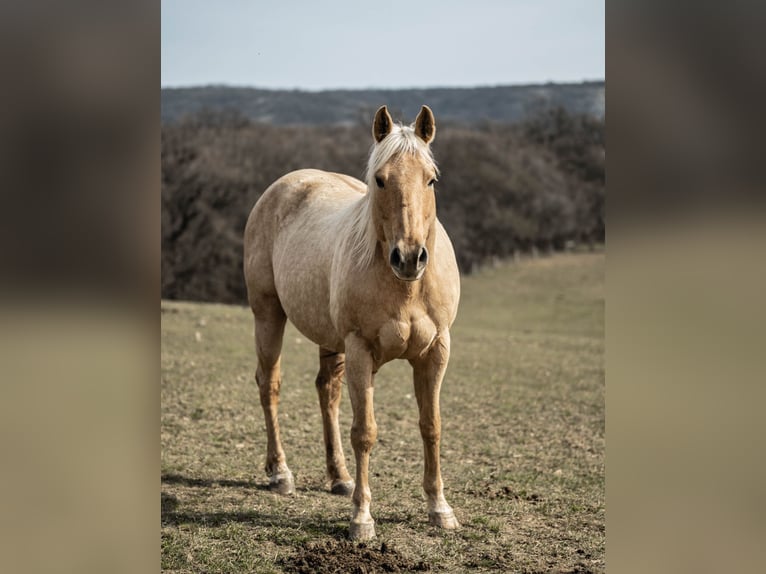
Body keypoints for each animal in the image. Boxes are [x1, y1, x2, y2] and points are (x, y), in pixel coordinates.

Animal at [243, 105, 460, 540]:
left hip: (330, 340)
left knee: (327, 392)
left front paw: (439, 508)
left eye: (431, 179)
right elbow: (365, 432)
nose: (409, 258)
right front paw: (362, 518)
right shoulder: (361, 349)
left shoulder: (436, 352)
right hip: (268, 315)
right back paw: (280, 473)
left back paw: (339, 477)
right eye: (380, 179)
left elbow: (431, 425)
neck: (405, 288)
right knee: (269, 385)